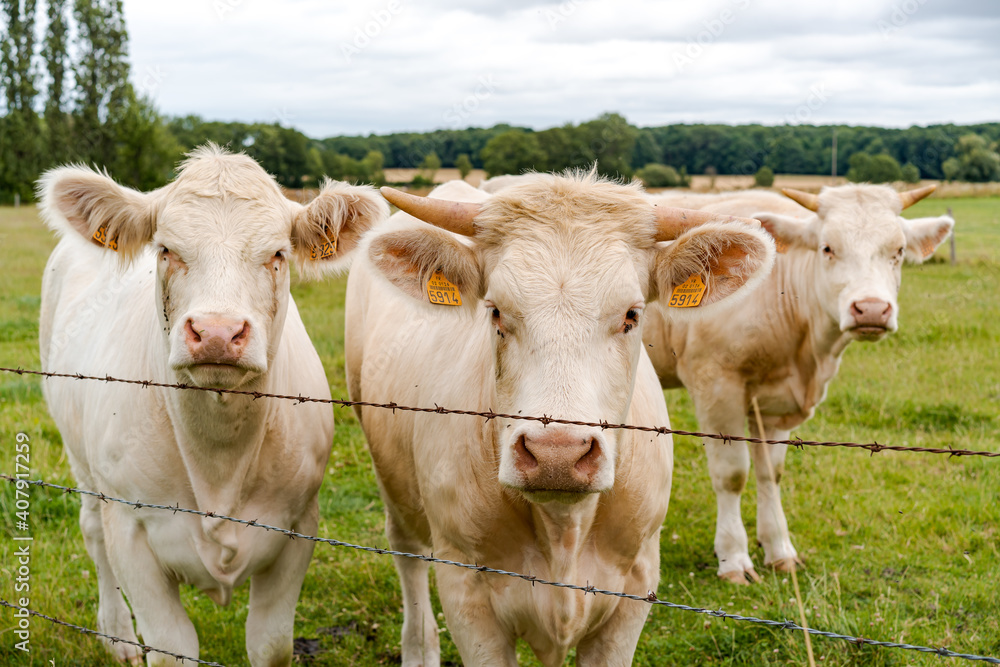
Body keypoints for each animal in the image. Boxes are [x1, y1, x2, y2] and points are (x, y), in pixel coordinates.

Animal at [38, 146, 386, 664]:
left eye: (277, 254)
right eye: (165, 250)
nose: (217, 333)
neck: (219, 461)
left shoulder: (299, 527)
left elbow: (270, 643)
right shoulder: (129, 529)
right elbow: (171, 645)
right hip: (81, 460)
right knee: (92, 532)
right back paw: (118, 635)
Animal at [344, 174, 772, 667]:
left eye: (632, 314)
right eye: (495, 311)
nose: (557, 455)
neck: (563, 527)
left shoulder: (636, 586)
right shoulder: (466, 591)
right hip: (392, 481)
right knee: (408, 556)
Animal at [640, 184, 952, 584]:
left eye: (897, 251)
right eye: (827, 248)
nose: (870, 309)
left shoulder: (775, 404)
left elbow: (770, 474)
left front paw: (778, 549)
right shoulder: (716, 385)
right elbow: (732, 475)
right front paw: (733, 558)